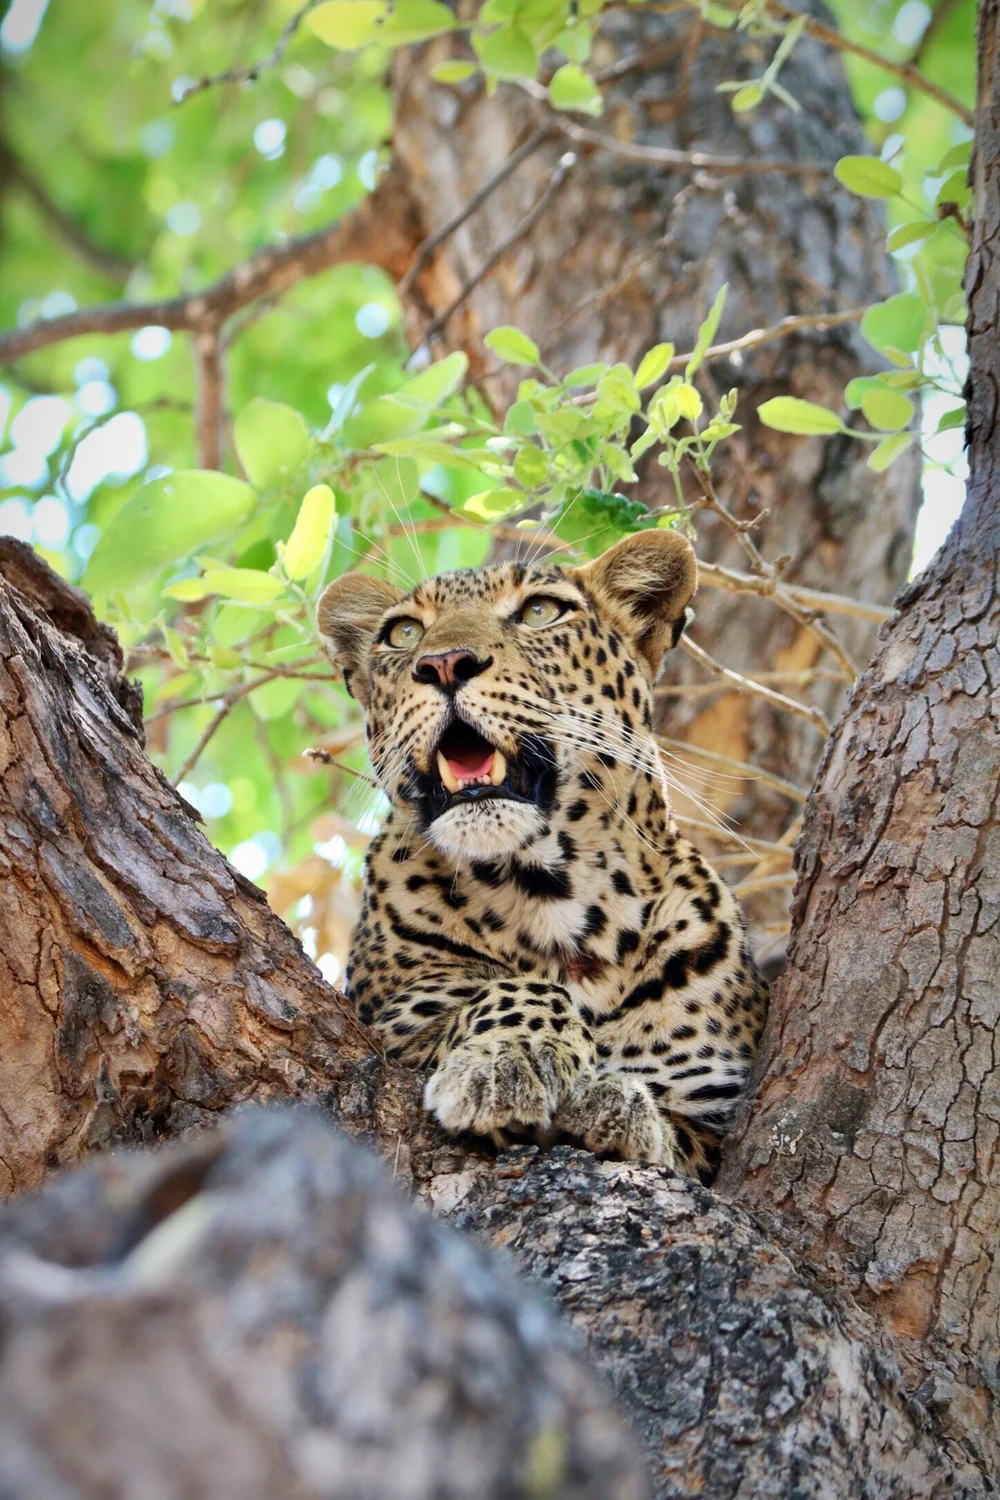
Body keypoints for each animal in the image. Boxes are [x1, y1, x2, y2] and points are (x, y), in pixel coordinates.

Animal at [318, 528, 768, 1180]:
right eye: (403, 633)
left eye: (539, 612)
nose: (443, 663)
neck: (555, 894)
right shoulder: (393, 1021)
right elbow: (513, 990)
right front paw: (510, 1058)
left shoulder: (712, 1116)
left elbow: (680, 1137)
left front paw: (617, 1106)